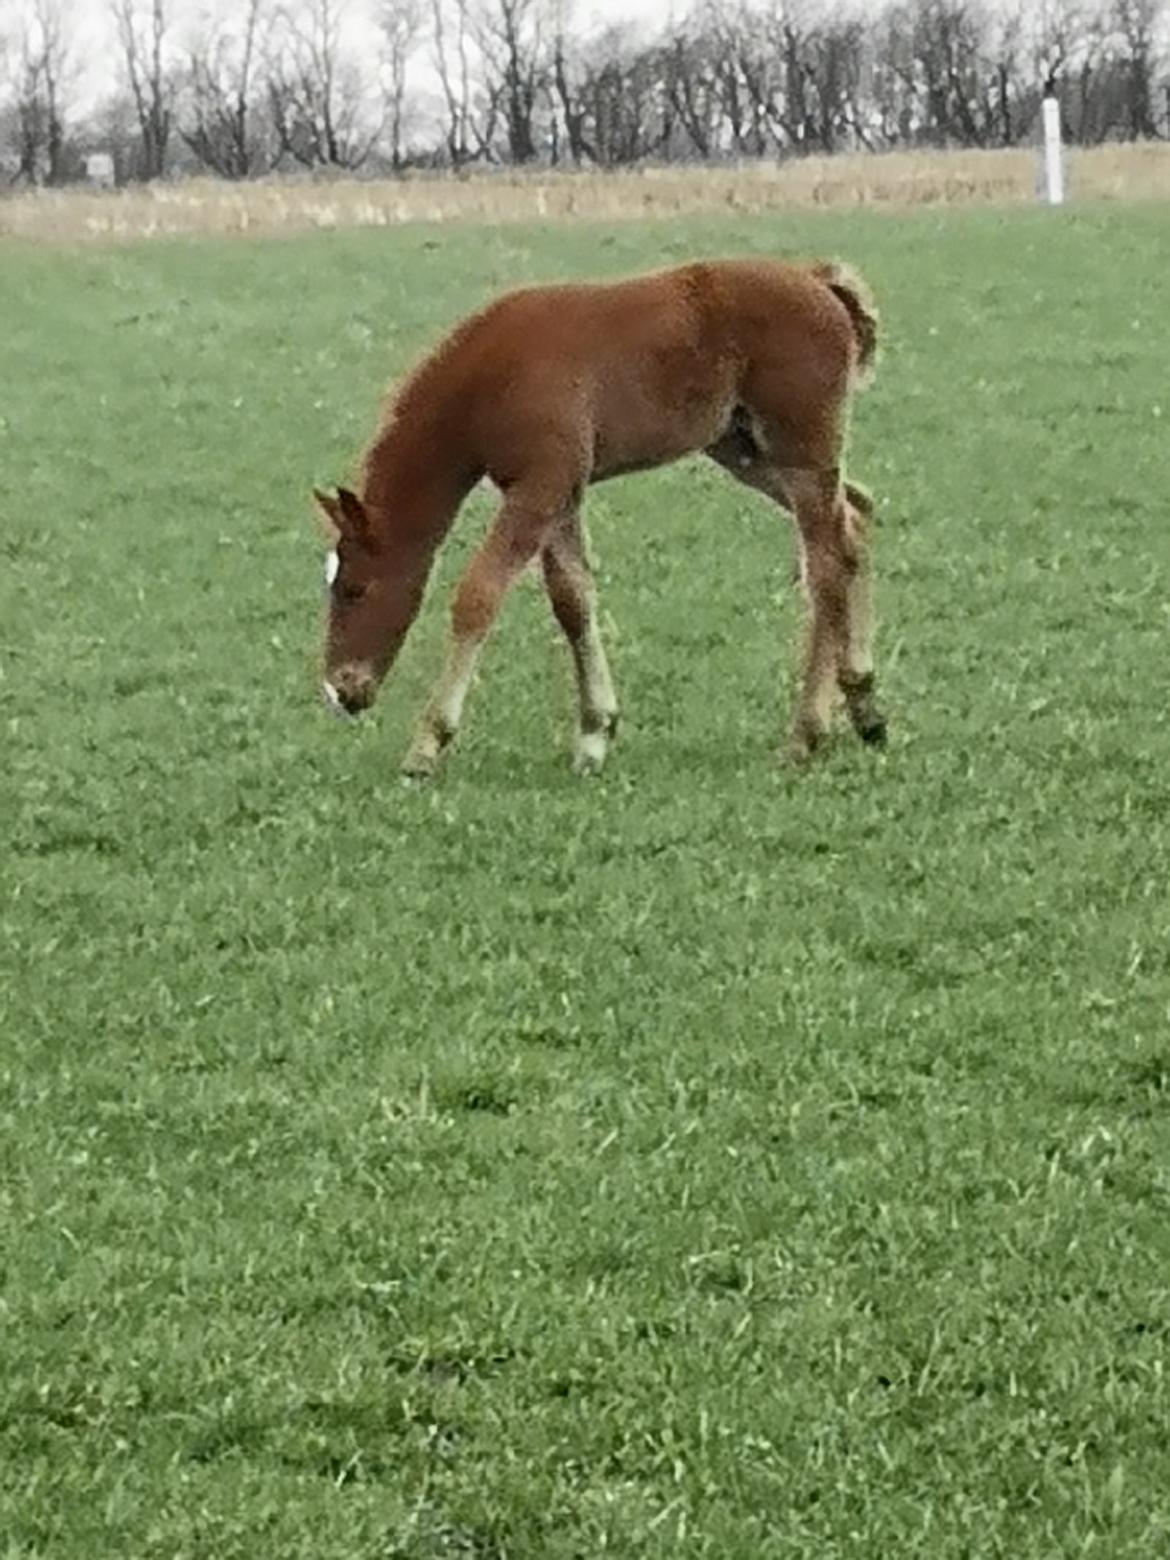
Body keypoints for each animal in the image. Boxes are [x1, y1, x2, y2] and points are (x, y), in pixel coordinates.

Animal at [316, 255, 886, 780]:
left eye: (354, 589)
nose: (341, 689)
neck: (489, 379)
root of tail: (817, 280)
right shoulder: (562, 493)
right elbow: (572, 600)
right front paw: (594, 733)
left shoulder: (539, 488)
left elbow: (478, 596)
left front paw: (428, 743)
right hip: (747, 451)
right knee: (853, 520)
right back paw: (862, 703)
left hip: (801, 451)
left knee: (827, 567)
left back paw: (811, 731)